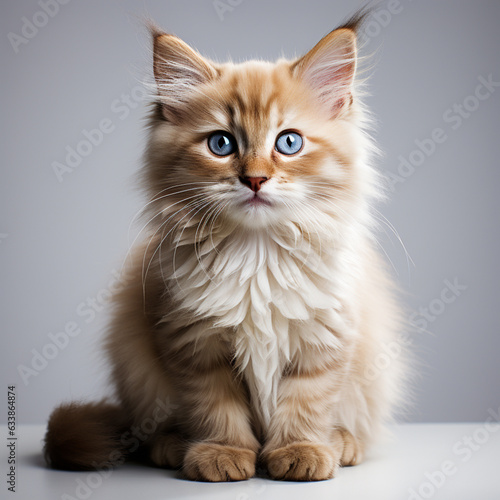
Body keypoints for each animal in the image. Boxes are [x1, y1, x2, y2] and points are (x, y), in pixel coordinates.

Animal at [44, 14, 406, 480]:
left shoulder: (324, 340)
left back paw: (342, 443)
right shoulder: (193, 342)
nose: (254, 179)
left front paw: (301, 451)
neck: (258, 255)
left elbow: (306, 402)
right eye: (221, 144)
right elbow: (216, 408)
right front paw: (222, 454)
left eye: (289, 142)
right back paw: (171, 446)